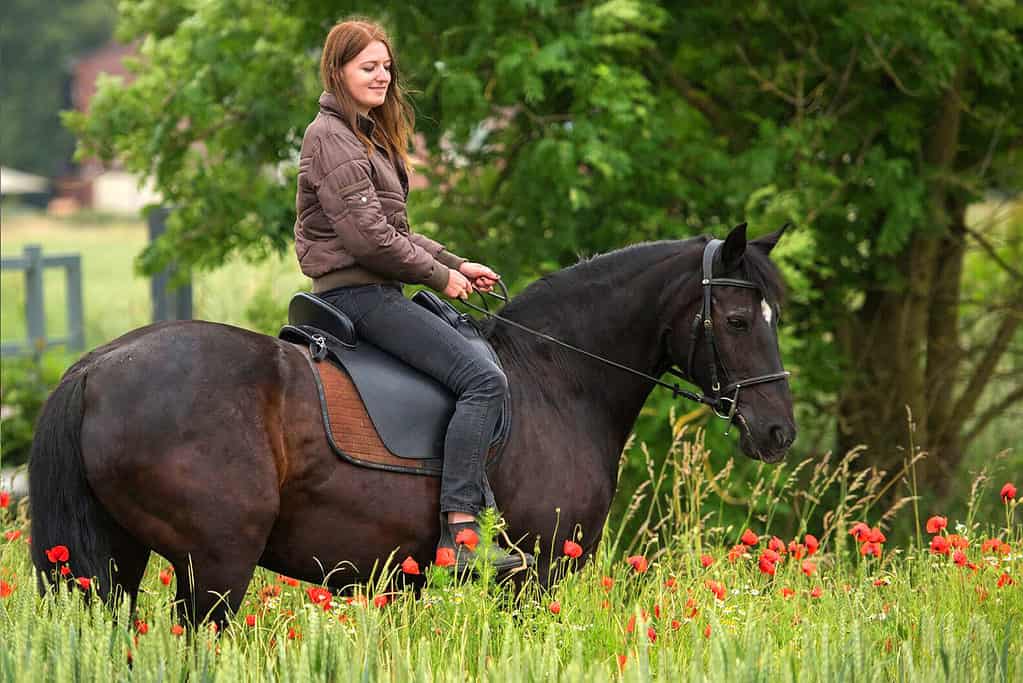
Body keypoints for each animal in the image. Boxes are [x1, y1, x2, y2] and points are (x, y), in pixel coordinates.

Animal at [28, 223, 795, 628]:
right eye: (735, 320)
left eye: (773, 316)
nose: (778, 433)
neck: (554, 377)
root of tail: (95, 366)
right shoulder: (534, 578)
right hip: (214, 567)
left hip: (118, 561)